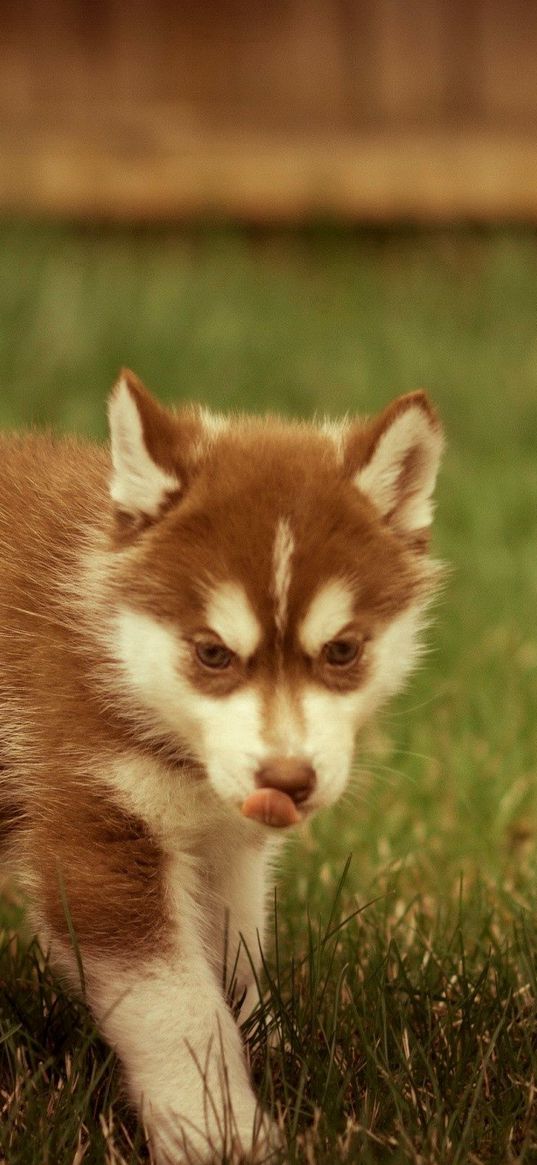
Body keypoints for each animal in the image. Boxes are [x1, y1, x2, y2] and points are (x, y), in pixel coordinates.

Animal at [0, 375, 442, 1165]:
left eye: (342, 651)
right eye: (212, 653)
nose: (288, 781)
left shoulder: (219, 843)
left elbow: (232, 958)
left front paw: (270, 1051)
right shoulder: (94, 830)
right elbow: (177, 1004)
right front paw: (218, 1129)